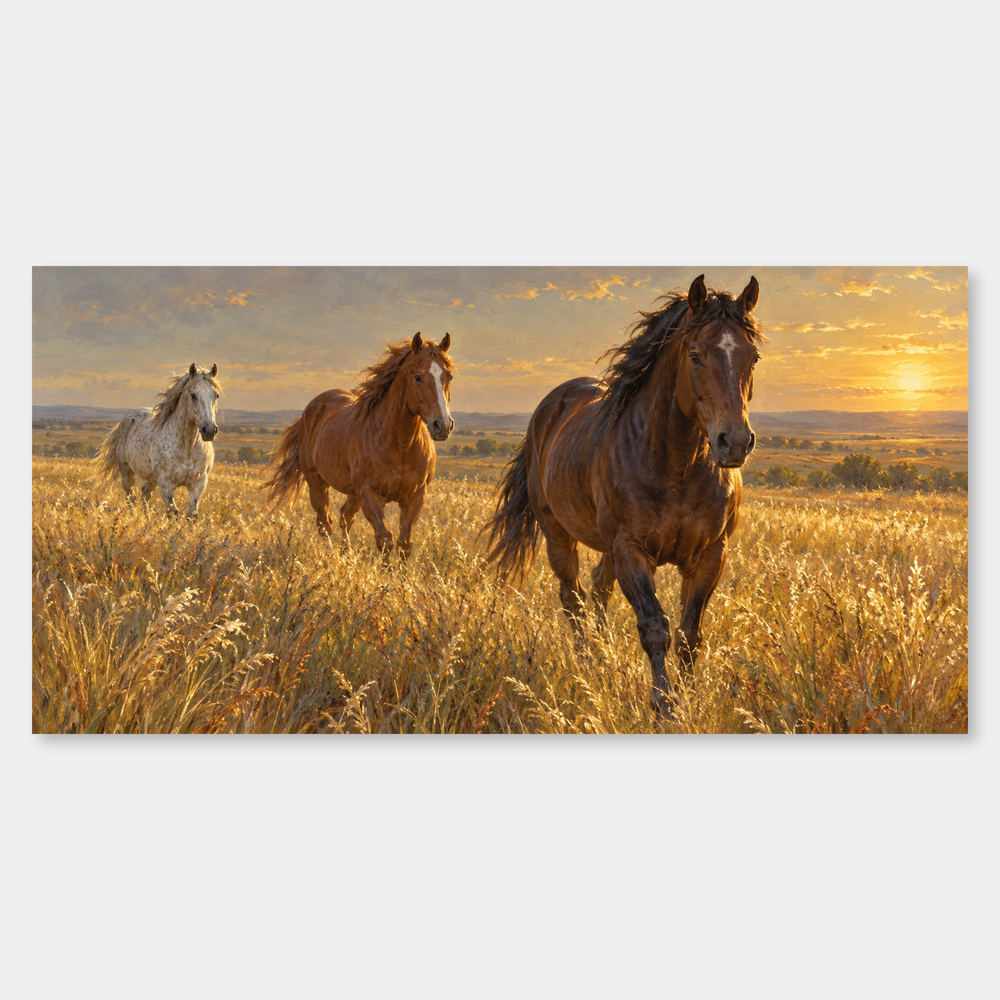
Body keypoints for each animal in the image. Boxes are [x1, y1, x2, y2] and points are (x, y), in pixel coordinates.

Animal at [96, 363, 222, 518]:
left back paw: (147, 518)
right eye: (193, 395)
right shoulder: (165, 483)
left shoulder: (199, 483)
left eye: (216, 395)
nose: (209, 430)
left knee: (144, 493)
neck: (188, 447)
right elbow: (173, 513)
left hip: (151, 479)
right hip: (127, 472)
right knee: (131, 497)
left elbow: (191, 514)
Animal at [259, 332, 455, 559]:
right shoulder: (370, 494)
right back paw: (332, 558)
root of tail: (312, 407)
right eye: (418, 377)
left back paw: (347, 556)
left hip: (352, 492)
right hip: (317, 482)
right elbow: (385, 540)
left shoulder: (416, 496)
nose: (442, 425)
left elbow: (405, 544)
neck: (400, 446)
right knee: (325, 523)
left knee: (345, 517)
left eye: (449, 376)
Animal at [482, 275, 764, 720]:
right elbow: (655, 628)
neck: (675, 464)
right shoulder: (631, 549)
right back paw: (588, 663)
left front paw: (687, 701)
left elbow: (689, 635)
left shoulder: (710, 555)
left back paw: (602, 654)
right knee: (573, 598)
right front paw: (662, 705)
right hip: (559, 535)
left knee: (598, 590)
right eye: (695, 355)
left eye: (752, 358)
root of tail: (551, 406)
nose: (733, 442)